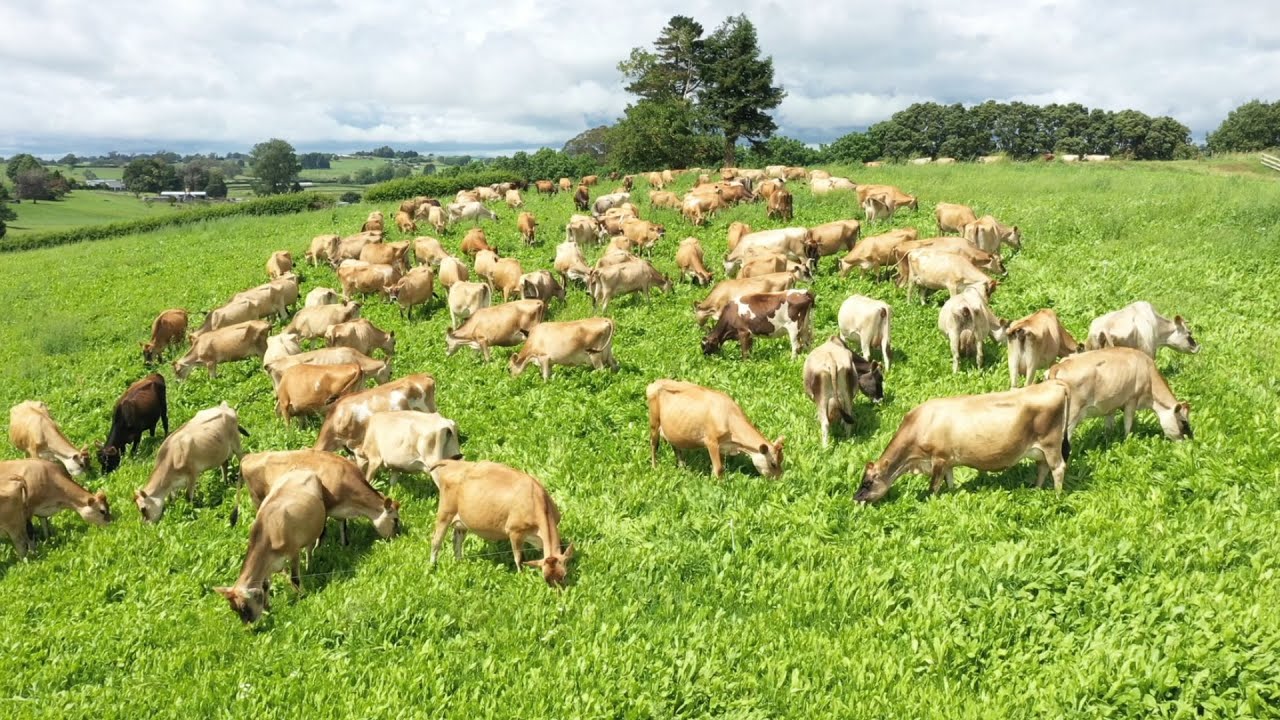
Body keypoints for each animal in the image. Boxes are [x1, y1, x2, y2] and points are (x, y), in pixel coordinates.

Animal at [215, 470, 326, 623]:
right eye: (233, 609)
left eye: (244, 607)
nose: (248, 624)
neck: (268, 533)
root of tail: (303, 470)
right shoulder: (268, 563)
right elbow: (265, 584)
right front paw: (268, 607)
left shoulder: (293, 551)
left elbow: (295, 578)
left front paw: (302, 596)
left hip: (313, 530)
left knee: (309, 549)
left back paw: (310, 566)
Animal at [428, 459, 573, 586]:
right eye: (546, 579)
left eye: (564, 575)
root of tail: (452, 463)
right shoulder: (515, 532)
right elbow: (519, 559)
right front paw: (522, 578)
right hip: (445, 513)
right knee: (436, 541)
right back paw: (432, 567)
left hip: (461, 521)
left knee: (457, 541)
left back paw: (460, 562)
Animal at [646, 380, 784, 479]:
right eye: (773, 464)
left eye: (781, 460)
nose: (779, 480)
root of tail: (655, 383)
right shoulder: (711, 441)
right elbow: (719, 469)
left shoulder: (722, 446)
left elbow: (717, 467)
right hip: (654, 422)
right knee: (654, 444)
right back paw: (654, 467)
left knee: (675, 445)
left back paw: (682, 468)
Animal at [855, 380, 1072, 502]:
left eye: (867, 482)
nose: (855, 498)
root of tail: (1055, 383)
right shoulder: (948, 461)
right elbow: (949, 481)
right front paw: (952, 494)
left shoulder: (938, 458)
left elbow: (933, 486)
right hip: (1041, 448)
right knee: (1043, 467)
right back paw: (1036, 489)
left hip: (1051, 443)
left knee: (1058, 468)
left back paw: (1056, 496)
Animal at [1048, 348, 1192, 441]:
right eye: (1184, 422)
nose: (1190, 440)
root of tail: (1058, 366)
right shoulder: (1132, 400)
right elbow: (1128, 424)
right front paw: (1127, 441)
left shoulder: (1110, 405)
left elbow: (1109, 426)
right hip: (1070, 417)